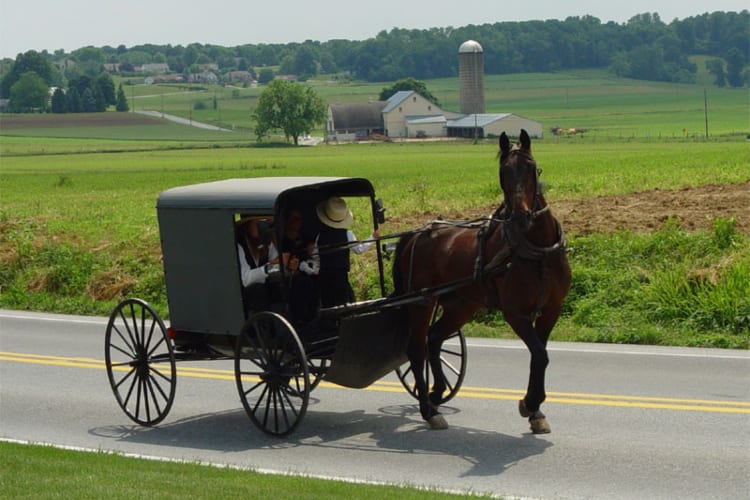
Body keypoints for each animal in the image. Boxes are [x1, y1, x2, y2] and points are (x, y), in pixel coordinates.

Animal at [390, 130, 572, 434]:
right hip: (422, 301)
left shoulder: (551, 309)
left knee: (434, 338)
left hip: (461, 304)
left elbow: (540, 355)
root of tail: (416, 234)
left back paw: (437, 393)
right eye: (503, 172)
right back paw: (429, 409)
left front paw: (535, 410)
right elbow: (539, 354)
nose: (520, 217)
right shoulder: (515, 313)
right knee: (416, 348)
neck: (537, 250)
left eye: (531, 167)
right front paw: (530, 403)